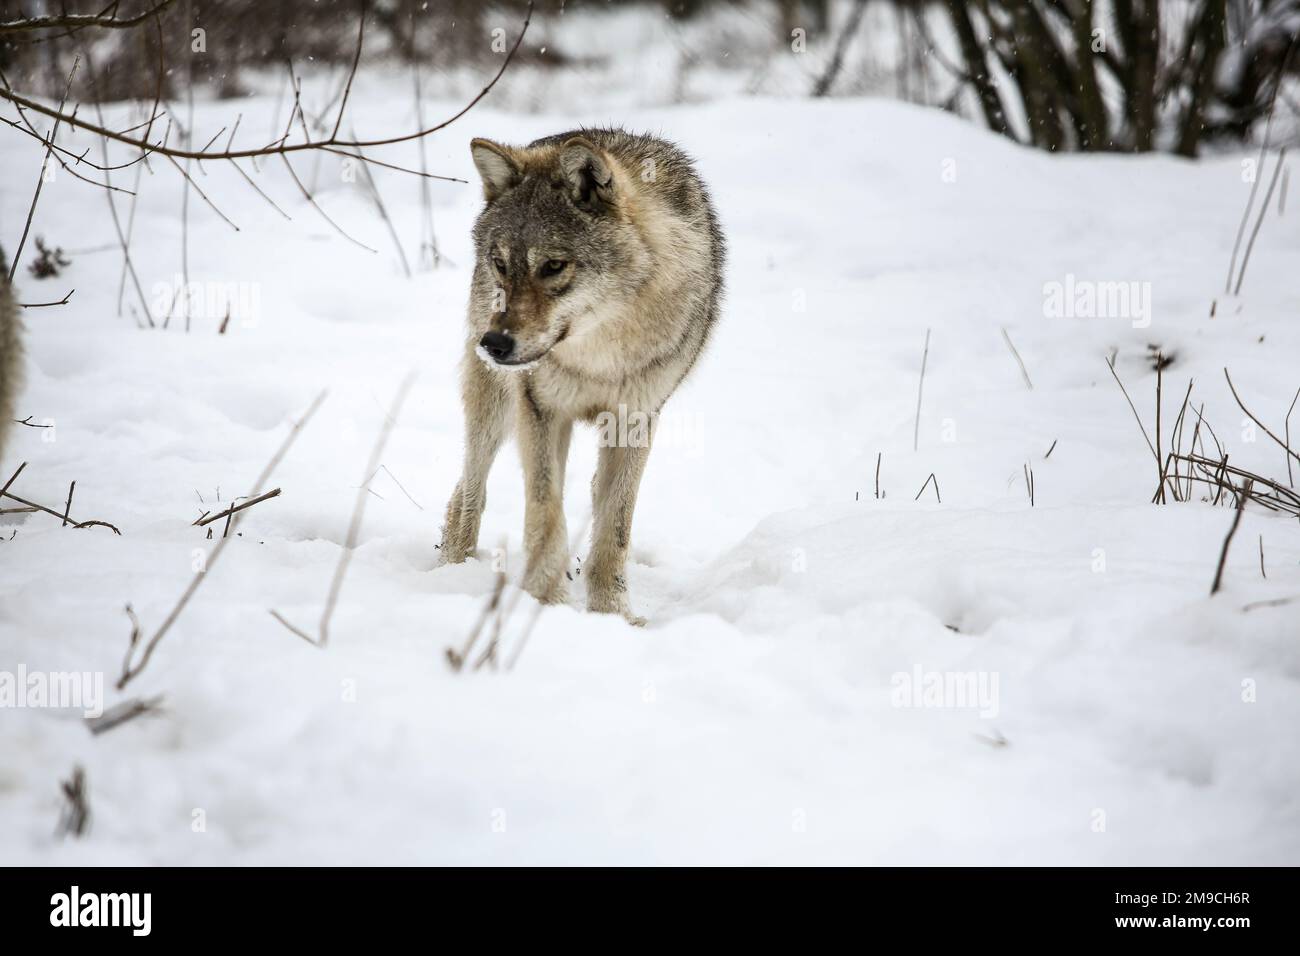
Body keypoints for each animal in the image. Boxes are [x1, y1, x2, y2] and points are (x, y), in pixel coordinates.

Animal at [438, 128, 724, 623]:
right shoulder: (540, 408)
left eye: (553, 266)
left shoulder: (634, 420)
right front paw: (545, 601)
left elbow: (614, 529)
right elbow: (545, 512)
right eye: (501, 263)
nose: (494, 344)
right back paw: (452, 568)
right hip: (495, 410)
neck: (599, 353)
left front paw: (612, 615)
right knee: (470, 489)